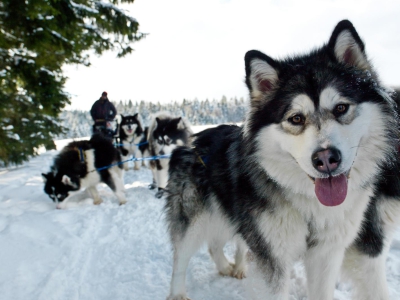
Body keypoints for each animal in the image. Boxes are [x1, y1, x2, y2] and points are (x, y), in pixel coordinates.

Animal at [164, 20, 400, 300]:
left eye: (341, 108)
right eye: (296, 118)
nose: (326, 159)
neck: (310, 207)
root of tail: (191, 142)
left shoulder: (327, 254)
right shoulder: (272, 258)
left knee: (216, 244)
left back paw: (230, 267)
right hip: (195, 220)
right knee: (180, 258)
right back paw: (178, 293)